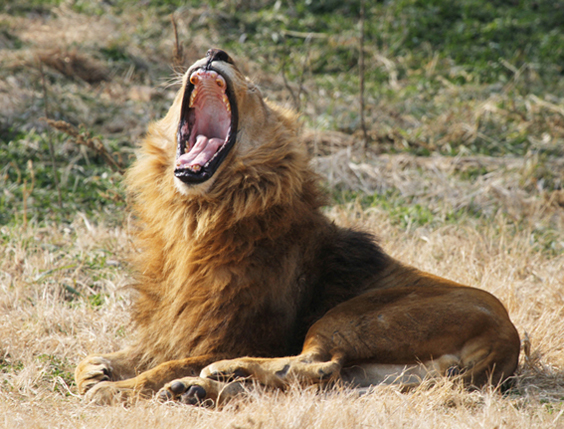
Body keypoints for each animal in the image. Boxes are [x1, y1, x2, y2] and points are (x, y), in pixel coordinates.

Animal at [75, 50, 520, 404]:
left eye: (254, 90)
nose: (217, 51)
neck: (194, 219)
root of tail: (507, 341)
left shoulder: (245, 336)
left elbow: (164, 366)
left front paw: (115, 389)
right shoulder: (170, 328)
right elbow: (117, 357)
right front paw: (99, 368)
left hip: (356, 316)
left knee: (315, 364)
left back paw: (217, 373)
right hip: (383, 374)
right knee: (316, 379)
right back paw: (199, 389)